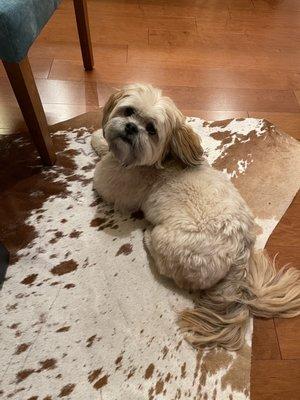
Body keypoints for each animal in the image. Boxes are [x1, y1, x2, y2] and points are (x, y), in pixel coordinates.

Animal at [91, 84, 300, 350]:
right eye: (129, 111)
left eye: (151, 129)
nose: (130, 127)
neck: (163, 159)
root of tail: (239, 255)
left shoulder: (113, 181)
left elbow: (102, 165)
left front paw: (97, 141)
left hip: (167, 242)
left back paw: (147, 239)